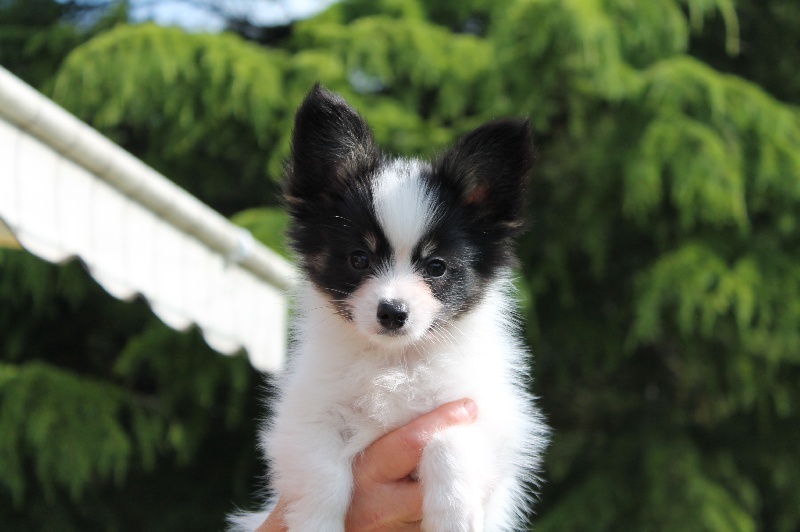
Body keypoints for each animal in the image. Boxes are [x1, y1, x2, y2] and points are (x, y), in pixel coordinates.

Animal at [231, 84, 549, 531]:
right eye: (359, 259)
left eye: (436, 267)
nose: (393, 312)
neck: (393, 362)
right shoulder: (306, 416)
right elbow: (322, 473)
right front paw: (317, 523)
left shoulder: (481, 415)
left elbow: (450, 445)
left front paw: (454, 516)